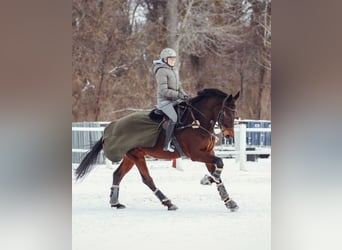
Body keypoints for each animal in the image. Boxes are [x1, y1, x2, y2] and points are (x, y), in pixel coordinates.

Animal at [75, 88, 240, 211]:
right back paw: (168, 202)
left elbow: (217, 171)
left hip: (130, 156)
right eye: (226, 112)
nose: (229, 136)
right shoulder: (196, 154)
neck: (197, 121)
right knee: (147, 179)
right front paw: (207, 180)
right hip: (137, 156)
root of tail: (112, 126)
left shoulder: (208, 152)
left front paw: (228, 201)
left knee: (117, 174)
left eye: (235, 113)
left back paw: (115, 202)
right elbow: (220, 163)